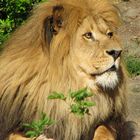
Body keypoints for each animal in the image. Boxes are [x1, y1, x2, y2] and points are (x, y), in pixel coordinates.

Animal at [0, 0, 135, 139]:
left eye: (109, 34)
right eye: (88, 35)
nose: (117, 52)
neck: (69, 82)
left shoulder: (112, 121)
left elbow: (103, 130)